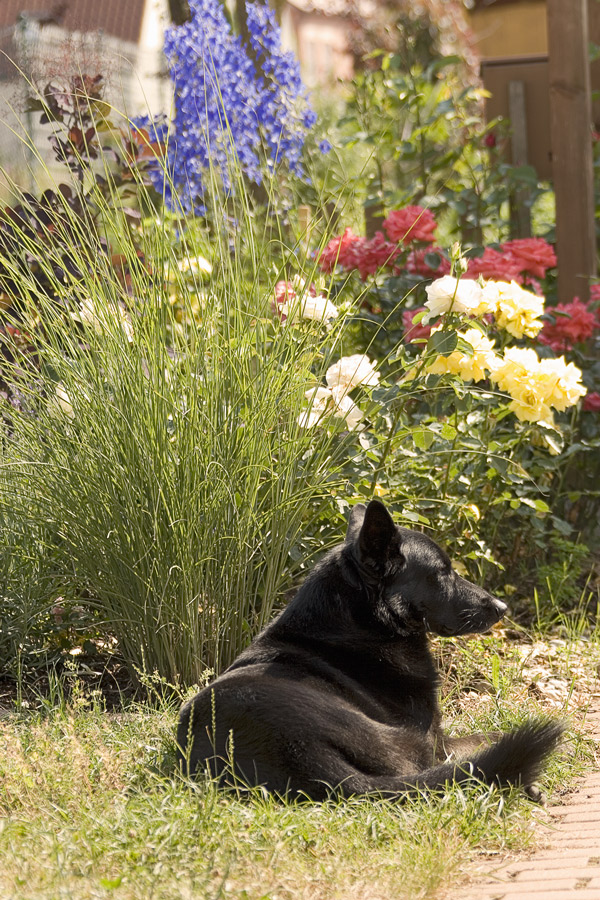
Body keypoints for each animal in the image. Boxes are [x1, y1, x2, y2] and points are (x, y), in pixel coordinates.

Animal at [178, 500, 564, 800]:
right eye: (442, 574)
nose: (502, 608)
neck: (365, 622)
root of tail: (300, 752)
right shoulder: (437, 741)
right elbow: (491, 735)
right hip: (409, 746)